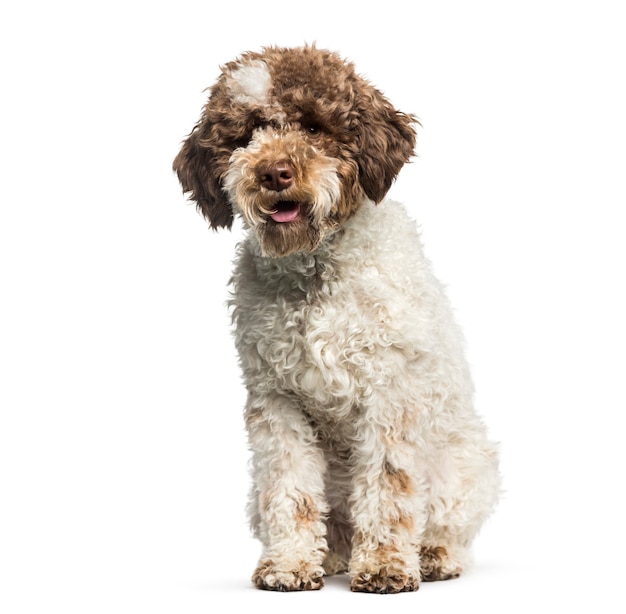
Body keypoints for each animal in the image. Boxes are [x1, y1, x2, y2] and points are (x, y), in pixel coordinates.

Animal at [173, 45, 500, 596]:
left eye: (314, 126)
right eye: (246, 134)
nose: (274, 173)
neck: (315, 276)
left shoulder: (389, 397)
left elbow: (389, 485)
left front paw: (387, 564)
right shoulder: (277, 402)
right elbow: (290, 488)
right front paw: (289, 562)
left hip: (467, 466)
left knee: (445, 524)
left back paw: (433, 556)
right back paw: (332, 557)